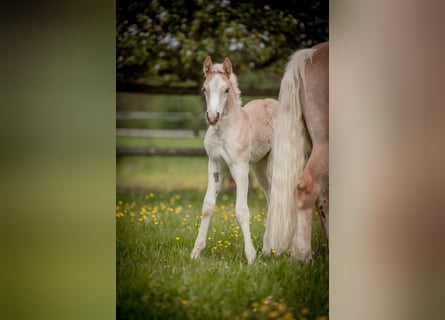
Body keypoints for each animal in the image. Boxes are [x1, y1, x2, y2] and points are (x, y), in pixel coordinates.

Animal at [191, 56, 278, 264]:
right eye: (204, 89)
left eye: (226, 89)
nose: (212, 117)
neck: (224, 130)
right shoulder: (215, 165)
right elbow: (207, 206)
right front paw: (196, 251)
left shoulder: (240, 168)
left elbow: (241, 210)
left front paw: (250, 256)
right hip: (260, 166)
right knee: (271, 194)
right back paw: (268, 248)